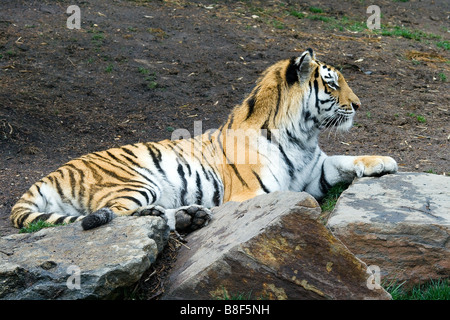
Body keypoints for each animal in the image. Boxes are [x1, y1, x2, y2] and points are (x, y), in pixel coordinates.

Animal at [9, 48, 398, 232]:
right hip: (135, 182)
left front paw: (384, 161)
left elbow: (346, 159)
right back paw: (172, 215)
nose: (359, 105)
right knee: (114, 216)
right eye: (331, 84)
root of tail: (46, 177)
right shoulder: (254, 193)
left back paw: (189, 216)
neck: (302, 135)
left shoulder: (316, 171)